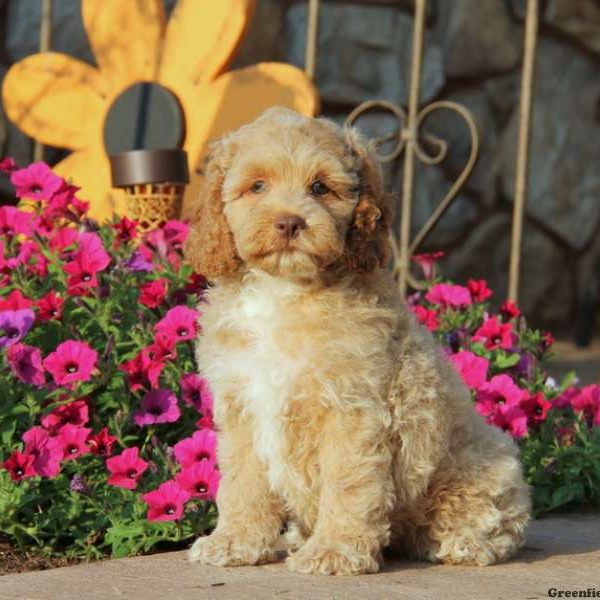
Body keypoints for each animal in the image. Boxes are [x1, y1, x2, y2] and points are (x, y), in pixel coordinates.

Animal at [183, 108, 528, 576]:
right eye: (257, 186)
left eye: (320, 187)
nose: (289, 222)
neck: (283, 290)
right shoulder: (242, 408)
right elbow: (242, 482)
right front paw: (235, 541)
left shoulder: (352, 409)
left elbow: (347, 483)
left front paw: (334, 551)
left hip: (483, 464)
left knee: (495, 518)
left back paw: (464, 543)